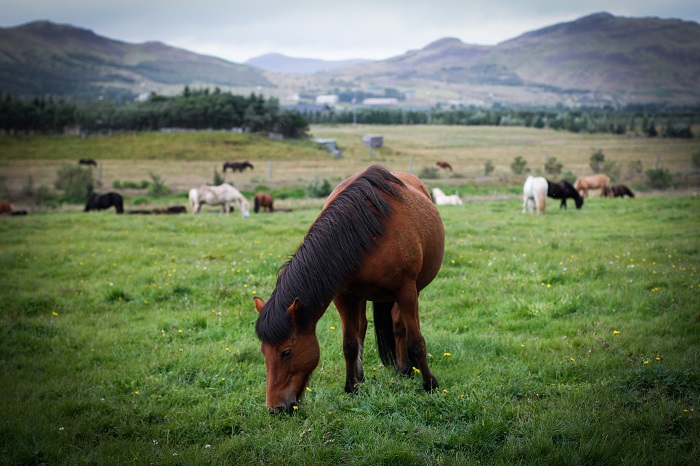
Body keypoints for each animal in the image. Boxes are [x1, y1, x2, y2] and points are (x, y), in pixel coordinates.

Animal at [254, 166, 446, 414]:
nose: (275, 408)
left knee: (400, 325)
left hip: (411, 291)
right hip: (361, 296)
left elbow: (416, 340)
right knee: (362, 328)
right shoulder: (344, 296)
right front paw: (350, 386)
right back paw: (363, 375)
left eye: (286, 352)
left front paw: (430, 383)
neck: (366, 231)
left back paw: (404, 368)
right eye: (263, 352)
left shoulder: (406, 291)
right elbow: (349, 344)